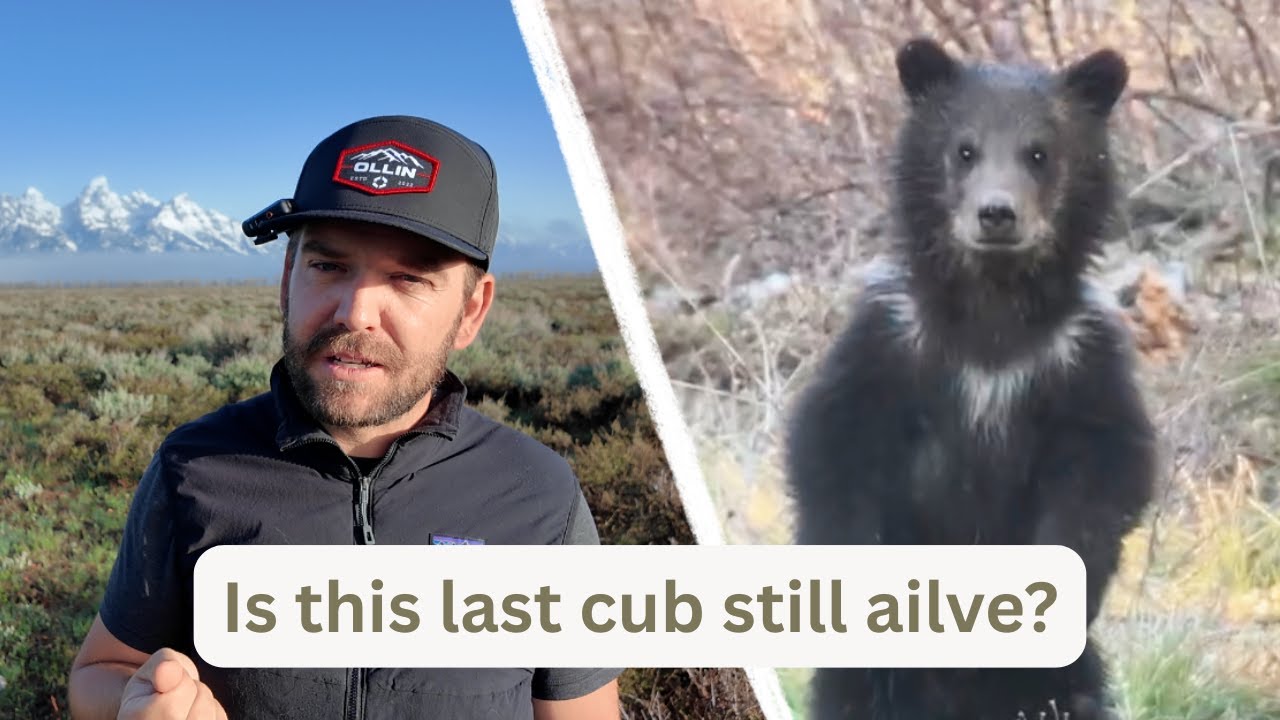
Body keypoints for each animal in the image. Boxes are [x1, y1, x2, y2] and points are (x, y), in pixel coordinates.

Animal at [784, 37, 1158, 720]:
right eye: (964, 149)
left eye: (1038, 153)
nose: (997, 213)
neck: (993, 308)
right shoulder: (891, 343)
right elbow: (833, 444)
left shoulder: (1079, 361)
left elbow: (1104, 469)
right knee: (853, 693)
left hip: (1056, 679)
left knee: (1071, 692)